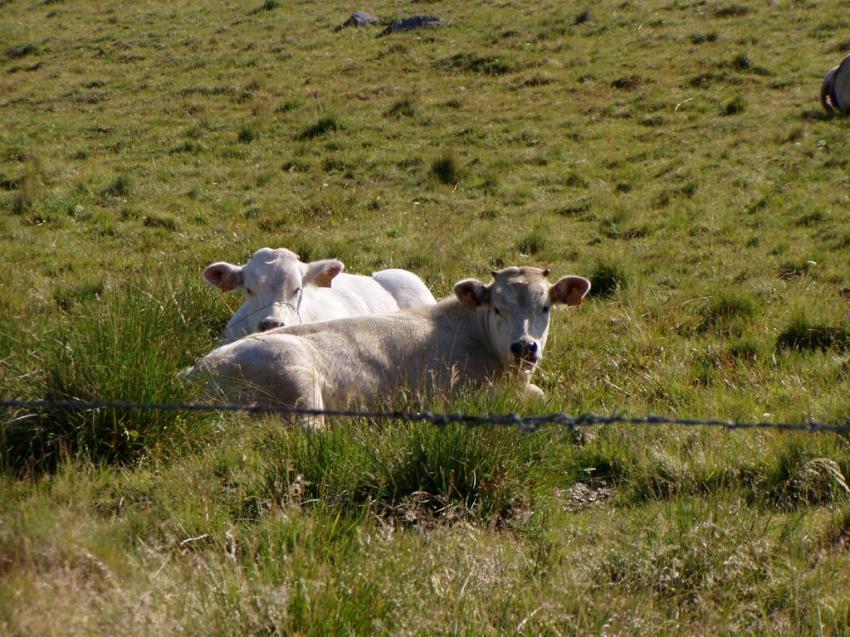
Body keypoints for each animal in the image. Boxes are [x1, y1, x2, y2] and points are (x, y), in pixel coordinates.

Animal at [191, 266, 591, 428]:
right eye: (497, 307)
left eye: (545, 307)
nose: (524, 346)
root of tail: (194, 372)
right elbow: (539, 397)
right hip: (296, 380)